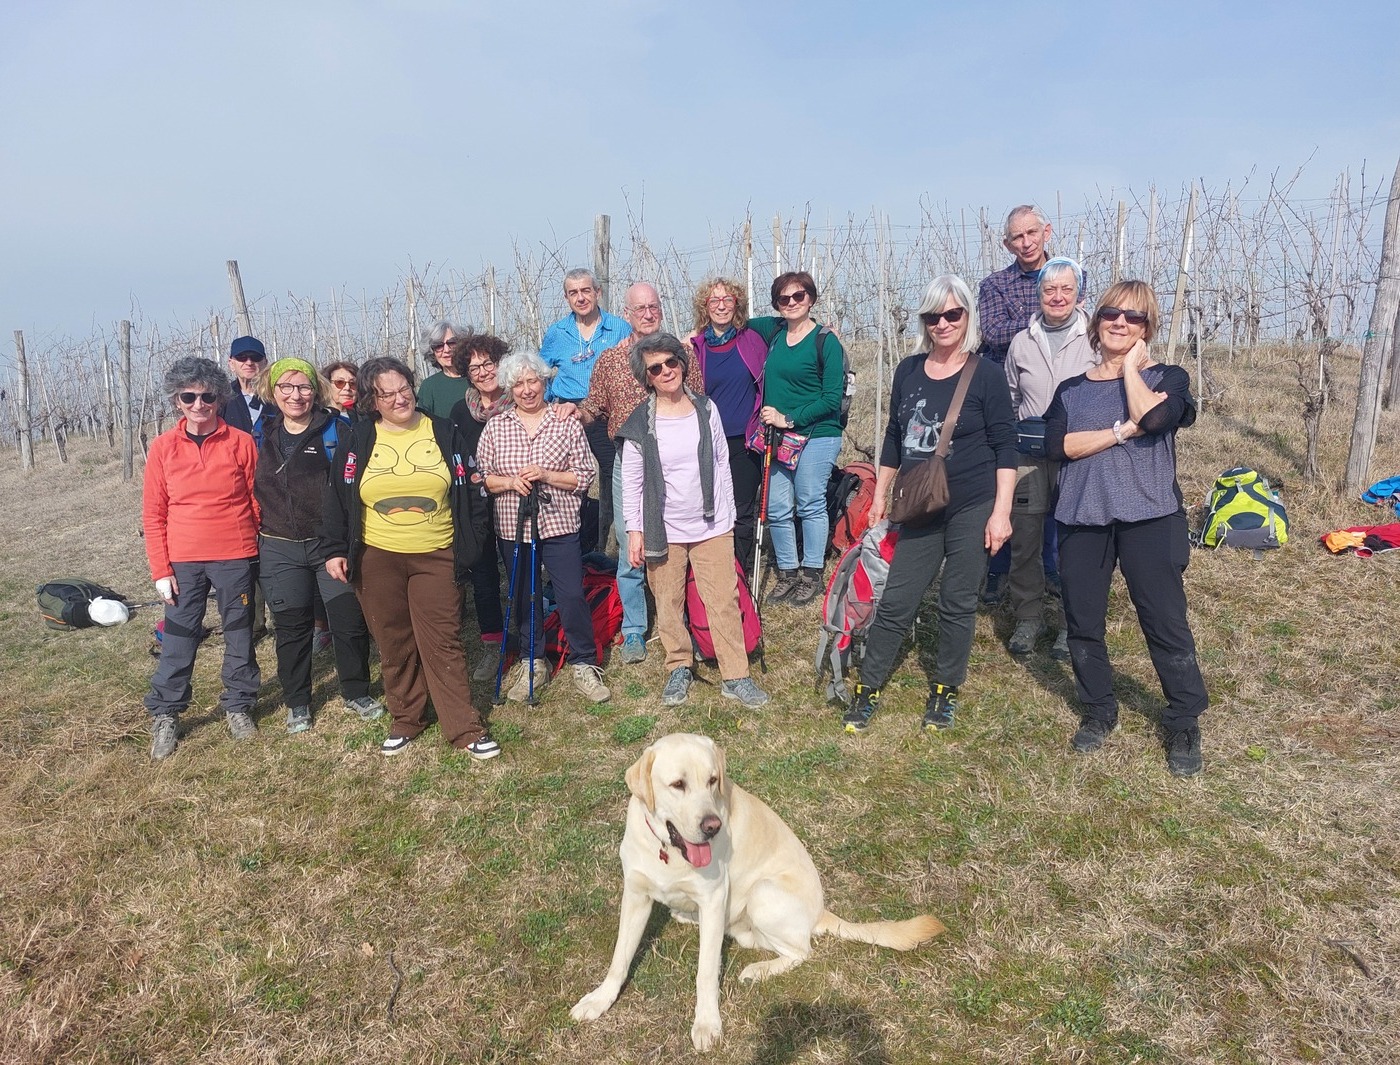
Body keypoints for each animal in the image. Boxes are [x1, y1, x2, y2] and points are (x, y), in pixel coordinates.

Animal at [571, 733, 952, 1046]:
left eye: (712, 780)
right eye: (677, 784)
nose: (713, 826)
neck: (668, 851)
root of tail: (821, 911)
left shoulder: (713, 899)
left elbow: (705, 972)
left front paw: (706, 1023)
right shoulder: (635, 895)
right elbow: (620, 958)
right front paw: (599, 1000)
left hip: (762, 893)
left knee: (801, 951)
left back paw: (758, 970)